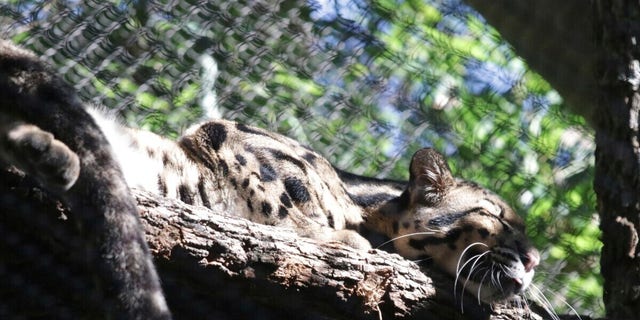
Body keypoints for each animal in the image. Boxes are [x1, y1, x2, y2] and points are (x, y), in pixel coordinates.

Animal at [0, 40, 540, 318]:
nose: (534, 259)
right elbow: (282, 198)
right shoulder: (230, 135)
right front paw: (339, 237)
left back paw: (47, 153)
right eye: (496, 216)